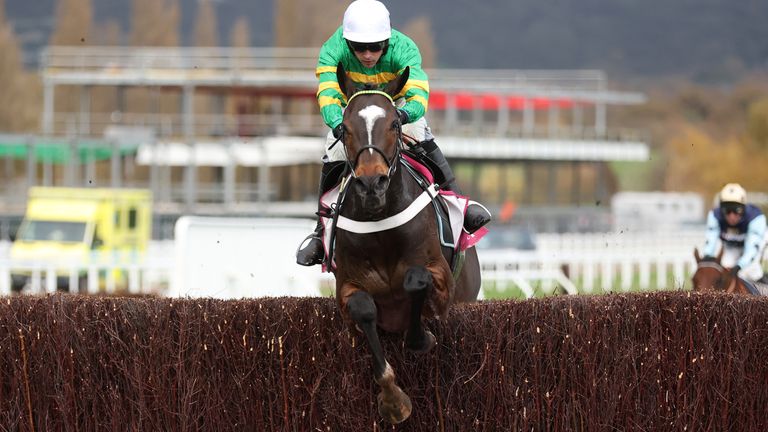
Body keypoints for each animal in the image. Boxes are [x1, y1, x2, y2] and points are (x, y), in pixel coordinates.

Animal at [330, 64, 480, 426]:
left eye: (395, 124)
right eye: (344, 128)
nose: (372, 183)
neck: (380, 221)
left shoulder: (441, 280)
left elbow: (416, 281)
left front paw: (420, 337)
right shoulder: (346, 288)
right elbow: (364, 309)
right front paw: (394, 400)